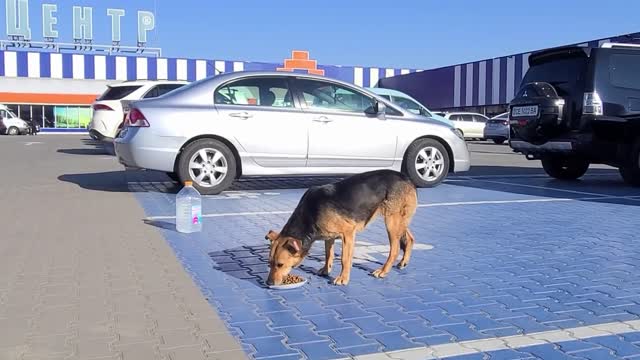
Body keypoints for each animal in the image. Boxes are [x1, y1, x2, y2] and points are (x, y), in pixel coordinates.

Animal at [264, 169, 418, 286]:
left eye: (280, 265)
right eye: (269, 263)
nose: (268, 283)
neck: (310, 213)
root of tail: (405, 177)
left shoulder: (348, 233)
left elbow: (345, 259)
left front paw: (343, 278)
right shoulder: (329, 236)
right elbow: (328, 254)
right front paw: (326, 270)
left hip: (391, 222)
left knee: (395, 248)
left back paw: (384, 270)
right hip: (399, 221)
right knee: (410, 238)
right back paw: (403, 262)